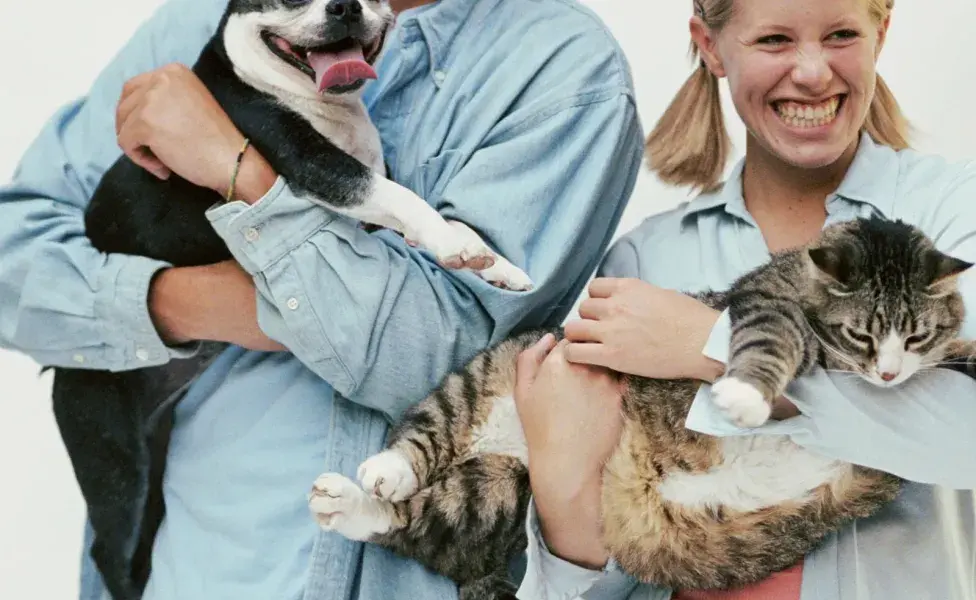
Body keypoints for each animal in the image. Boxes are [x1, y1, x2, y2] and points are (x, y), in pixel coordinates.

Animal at [49, 1, 528, 600]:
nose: (344, 6)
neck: (315, 102)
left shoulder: (365, 212)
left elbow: (429, 218)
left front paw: (495, 264)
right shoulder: (319, 167)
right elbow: (402, 196)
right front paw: (459, 246)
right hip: (113, 458)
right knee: (109, 545)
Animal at [308, 217, 972, 600]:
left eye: (915, 336)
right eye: (862, 334)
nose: (889, 373)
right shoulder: (764, 301)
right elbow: (775, 336)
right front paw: (745, 393)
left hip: (498, 494)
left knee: (423, 524)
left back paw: (349, 505)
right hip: (480, 382)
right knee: (424, 438)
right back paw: (382, 473)